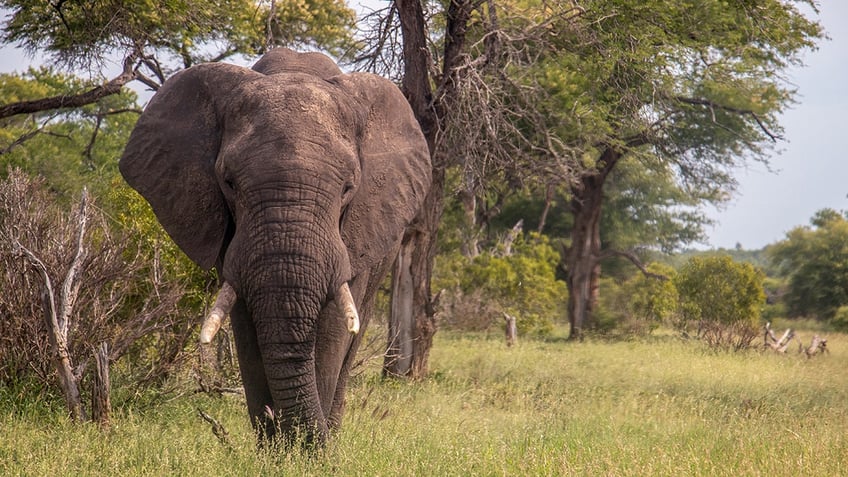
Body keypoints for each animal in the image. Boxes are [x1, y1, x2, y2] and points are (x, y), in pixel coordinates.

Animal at [119, 48, 430, 446]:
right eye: (228, 182)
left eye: (348, 188)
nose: (299, 442)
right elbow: (247, 330)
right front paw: (276, 450)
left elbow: (332, 330)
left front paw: (308, 452)